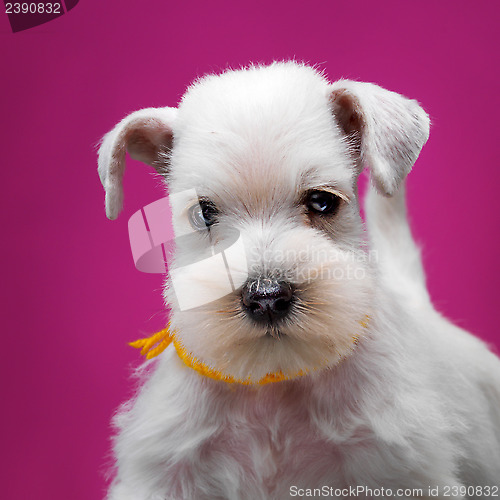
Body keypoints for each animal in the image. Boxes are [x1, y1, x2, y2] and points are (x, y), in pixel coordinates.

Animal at [96, 60, 500, 498]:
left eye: (322, 201)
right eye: (203, 212)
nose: (266, 297)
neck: (276, 380)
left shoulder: (401, 472)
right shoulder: (163, 474)